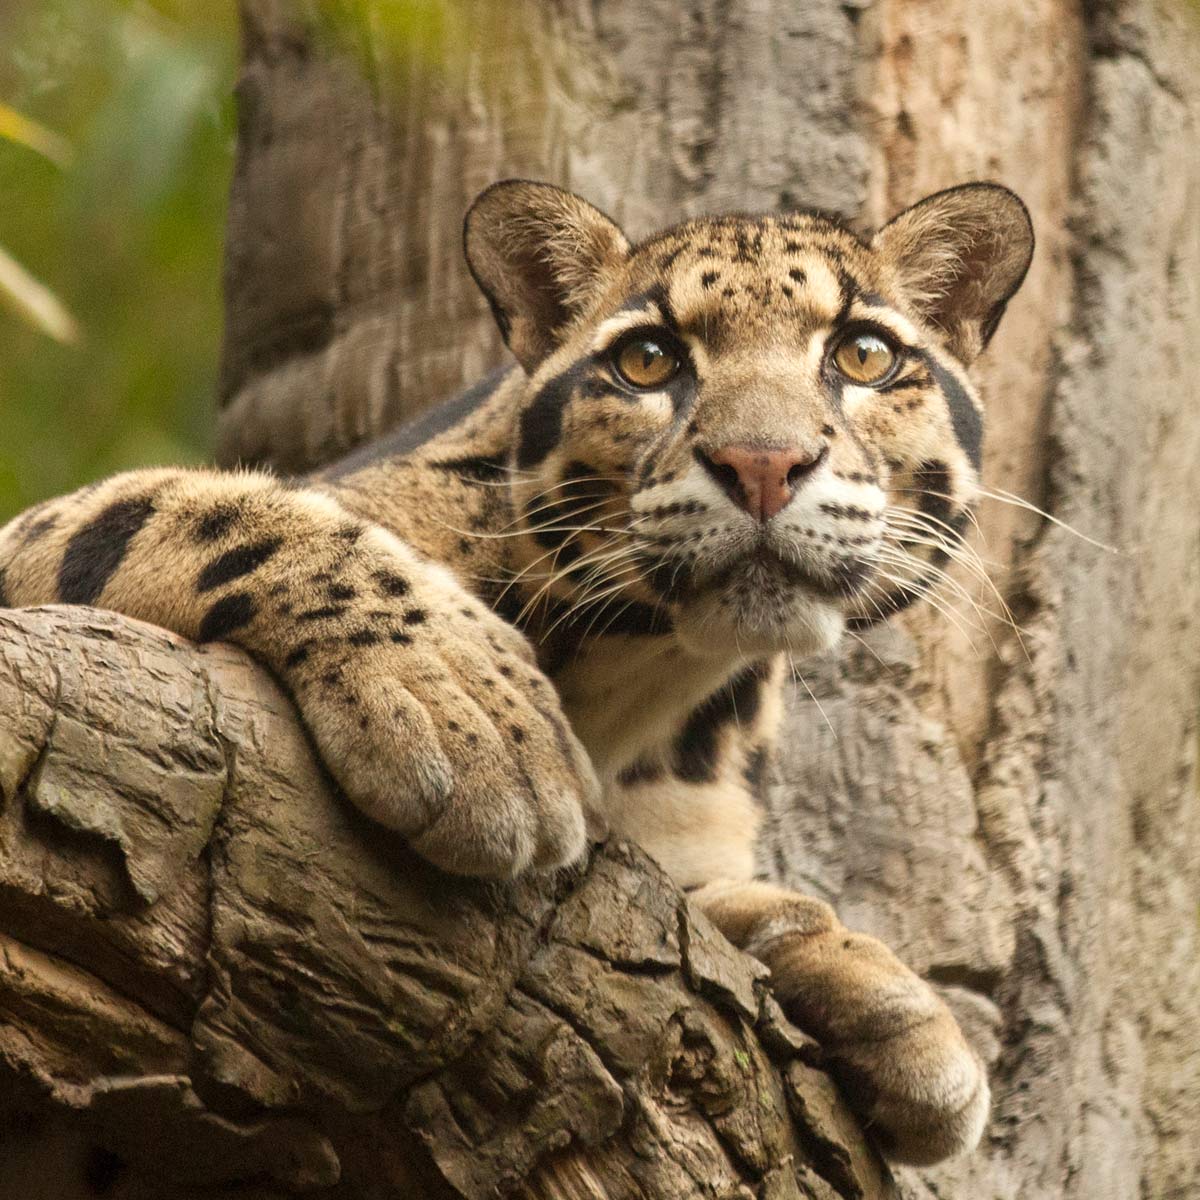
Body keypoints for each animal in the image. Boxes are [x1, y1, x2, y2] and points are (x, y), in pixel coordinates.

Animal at [0, 178, 1033, 1166]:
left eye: (863, 355)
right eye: (647, 361)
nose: (763, 463)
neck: (649, 680)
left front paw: (881, 996)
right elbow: (224, 512)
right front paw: (470, 711)